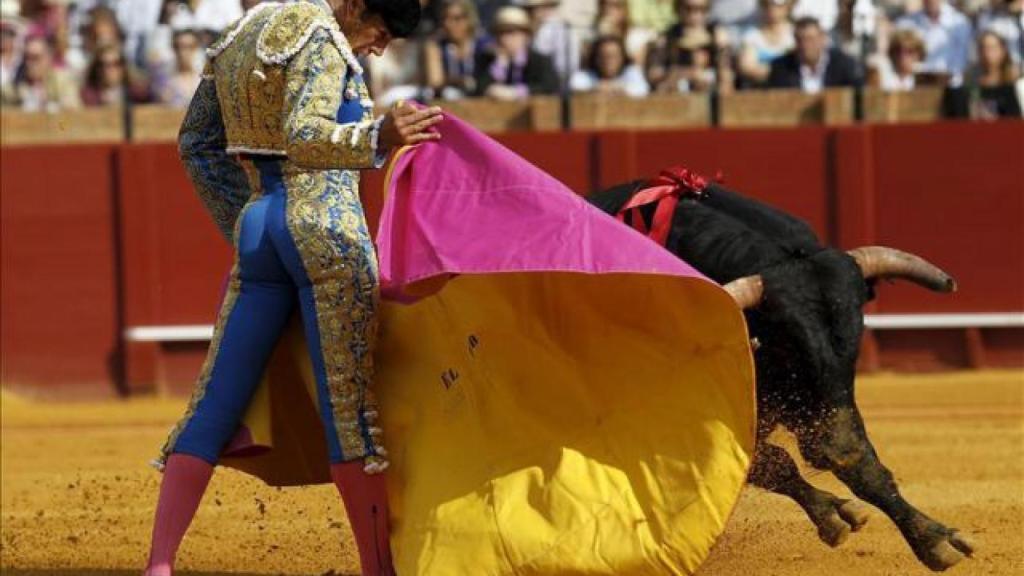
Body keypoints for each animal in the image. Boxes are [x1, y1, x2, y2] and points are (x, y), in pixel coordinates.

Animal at [585, 176, 974, 569]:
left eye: (855, 334)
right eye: (788, 342)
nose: (834, 447)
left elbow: (861, 465)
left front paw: (934, 538)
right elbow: (771, 463)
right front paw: (832, 514)